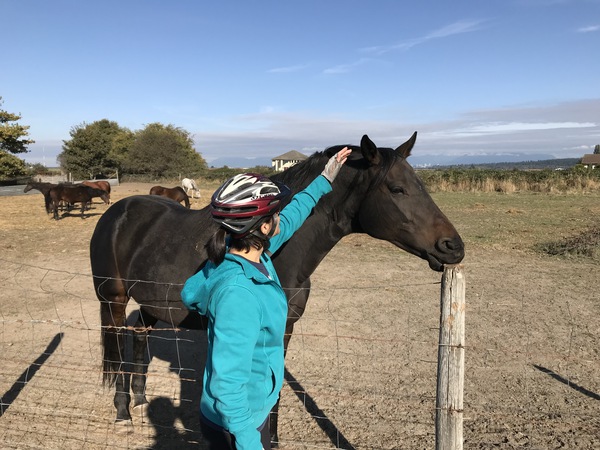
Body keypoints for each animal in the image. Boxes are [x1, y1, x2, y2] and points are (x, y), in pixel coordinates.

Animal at [90, 133, 465, 444]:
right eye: (397, 189)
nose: (453, 246)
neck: (276, 251)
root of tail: (117, 212)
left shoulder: (284, 329)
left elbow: (276, 390)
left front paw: (272, 438)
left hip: (151, 303)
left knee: (139, 334)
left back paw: (140, 399)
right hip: (113, 300)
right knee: (118, 349)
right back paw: (122, 412)